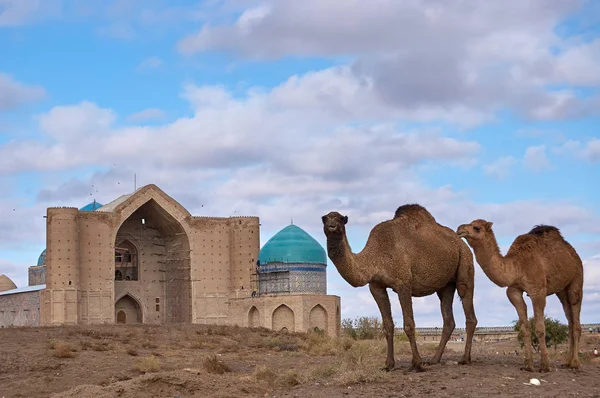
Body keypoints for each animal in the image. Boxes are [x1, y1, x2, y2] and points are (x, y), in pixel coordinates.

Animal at [324, 205, 478, 374]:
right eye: (324, 218)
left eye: (340, 219)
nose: (331, 224)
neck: (376, 256)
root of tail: (462, 244)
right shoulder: (376, 287)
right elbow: (387, 326)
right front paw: (388, 364)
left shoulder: (403, 283)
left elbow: (409, 325)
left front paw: (417, 364)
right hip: (446, 285)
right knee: (448, 319)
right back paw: (434, 359)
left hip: (465, 263)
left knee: (468, 307)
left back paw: (464, 359)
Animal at [458, 221, 584, 374]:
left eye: (476, 227)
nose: (459, 229)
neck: (517, 265)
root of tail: (573, 252)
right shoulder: (514, 291)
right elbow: (525, 328)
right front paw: (528, 365)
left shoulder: (537, 291)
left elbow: (540, 328)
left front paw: (545, 366)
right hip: (561, 290)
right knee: (569, 317)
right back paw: (567, 362)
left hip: (577, 277)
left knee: (575, 313)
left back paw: (575, 364)